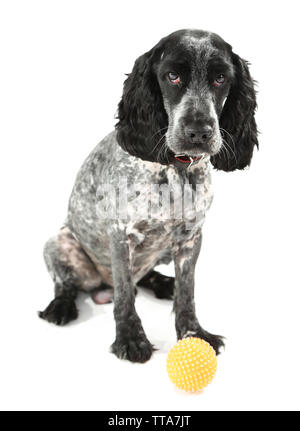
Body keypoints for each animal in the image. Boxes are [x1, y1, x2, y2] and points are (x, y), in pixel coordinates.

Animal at [39, 28, 258, 362]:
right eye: (172, 76)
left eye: (221, 78)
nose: (199, 132)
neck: (175, 172)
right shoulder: (121, 236)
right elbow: (124, 296)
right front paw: (130, 339)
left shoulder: (191, 237)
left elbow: (187, 293)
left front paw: (194, 334)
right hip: (58, 243)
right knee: (68, 284)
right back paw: (60, 307)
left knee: (147, 277)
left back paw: (164, 283)